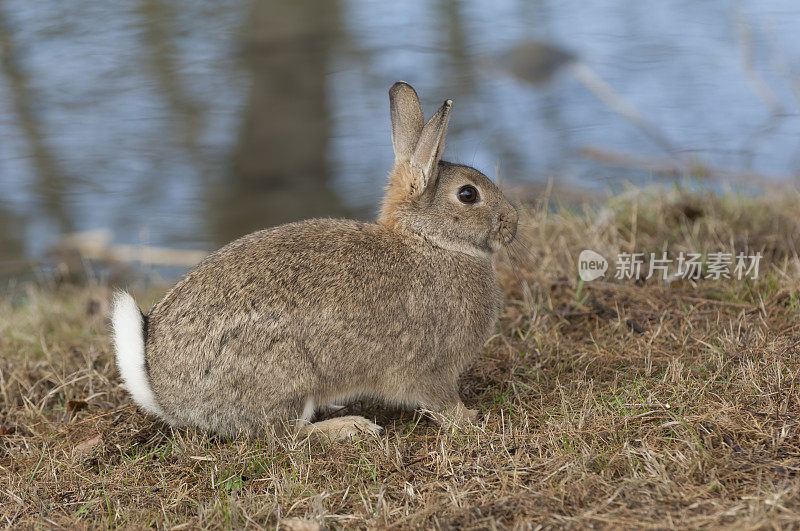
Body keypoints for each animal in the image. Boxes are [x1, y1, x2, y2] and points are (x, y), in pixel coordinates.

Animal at [114, 82, 520, 440]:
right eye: (468, 194)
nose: (512, 223)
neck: (430, 242)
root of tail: (166, 396)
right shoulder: (433, 366)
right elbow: (441, 402)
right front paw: (470, 419)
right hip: (287, 375)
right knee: (285, 435)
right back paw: (349, 427)